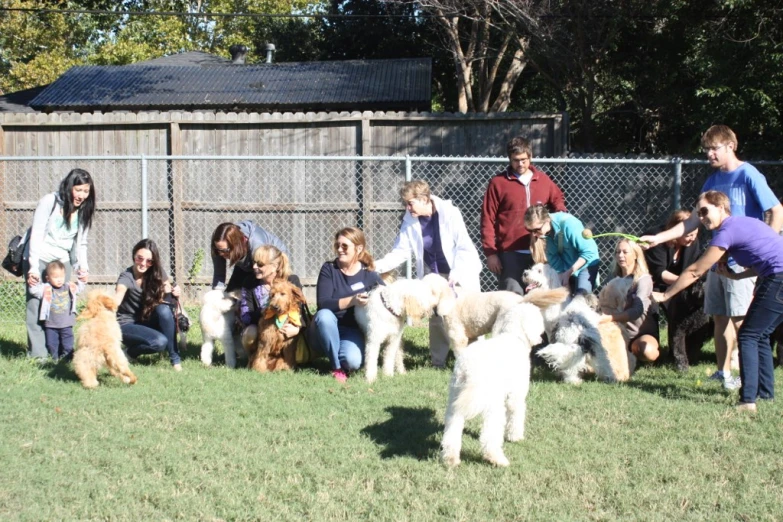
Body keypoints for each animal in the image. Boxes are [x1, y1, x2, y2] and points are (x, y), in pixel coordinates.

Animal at [440, 298, 544, 466]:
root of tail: (469, 368)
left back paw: (451, 458)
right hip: (492, 404)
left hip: (455, 399)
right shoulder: (516, 395)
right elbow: (516, 414)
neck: (513, 336)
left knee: (452, 430)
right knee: (489, 435)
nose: (541, 339)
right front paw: (515, 437)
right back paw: (496, 459)